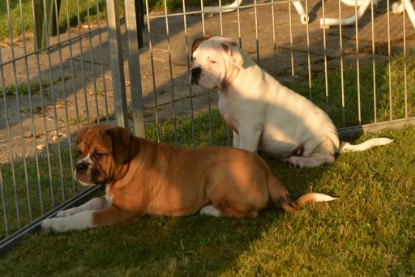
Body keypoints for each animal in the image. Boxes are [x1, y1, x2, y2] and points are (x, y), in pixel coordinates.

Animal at [40, 124, 336, 231]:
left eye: (100, 154)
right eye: (79, 152)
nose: (79, 167)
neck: (128, 161)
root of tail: (267, 171)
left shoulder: (121, 211)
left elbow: (85, 217)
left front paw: (58, 224)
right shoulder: (110, 200)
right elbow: (86, 204)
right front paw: (59, 214)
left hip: (217, 176)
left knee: (247, 213)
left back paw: (208, 210)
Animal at [191, 35, 394, 167]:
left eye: (213, 61)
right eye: (194, 59)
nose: (194, 71)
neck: (230, 85)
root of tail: (338, 142)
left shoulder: (250, 130)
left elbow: (247, 150)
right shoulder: (237, 131)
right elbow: (237, 147)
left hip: (316, 141)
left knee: (325, 159)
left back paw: (299, 161)